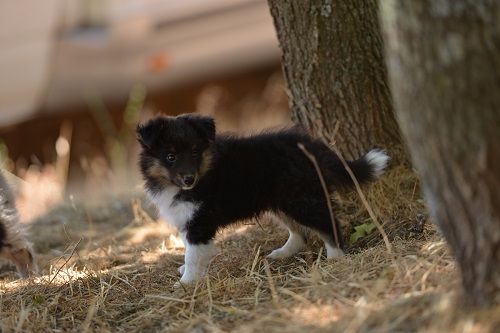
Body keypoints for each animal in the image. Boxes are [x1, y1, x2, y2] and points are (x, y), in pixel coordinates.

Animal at [138, 113, 390, 282]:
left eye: (194, 152)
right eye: (170, 156)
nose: (189, 179)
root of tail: (310, 145)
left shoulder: (199, 222)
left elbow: (193, 253)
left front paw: (187, 282)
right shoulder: (185, 218)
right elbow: (187, 248)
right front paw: (185, 272)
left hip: (300, 198)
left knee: (327, 222)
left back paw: (335, 256)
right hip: (281, 201)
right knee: (299, 232)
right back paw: (282, 253)